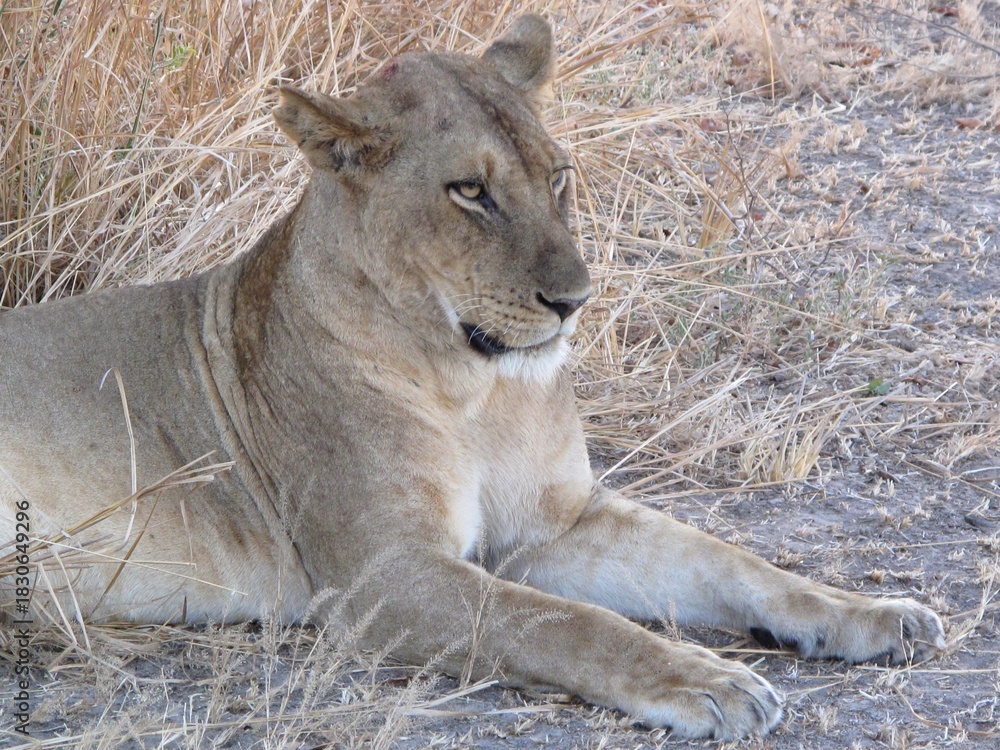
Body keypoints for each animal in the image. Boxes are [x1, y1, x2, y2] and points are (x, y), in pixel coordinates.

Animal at [0, 15, 944, 740]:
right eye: (469, 193)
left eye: (558, 177)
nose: (574, 300)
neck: (478, 388)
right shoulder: (382, 576)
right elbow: (567, 624)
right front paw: (708, 680)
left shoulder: (554, 523)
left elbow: (730, 562)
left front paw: (873, 614)